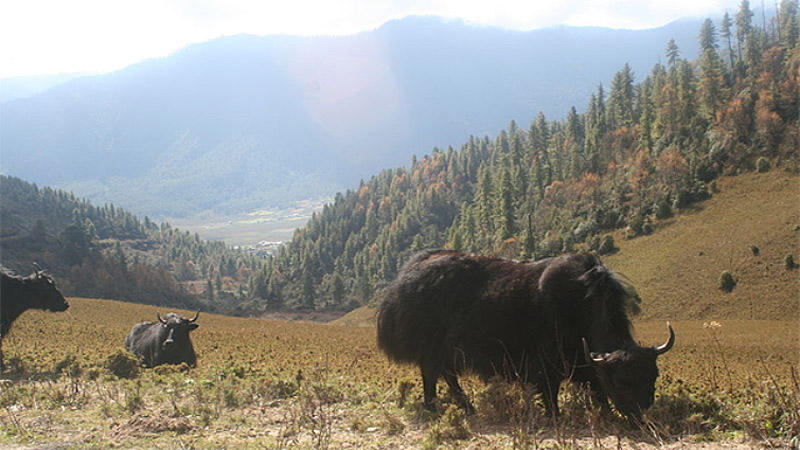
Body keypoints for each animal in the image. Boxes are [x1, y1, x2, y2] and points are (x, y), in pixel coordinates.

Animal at [376, 250, 676, 418]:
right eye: (622, 382)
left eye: (653, 376)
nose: (640, 417)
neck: (580, 303)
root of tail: (404, 279)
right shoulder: (547, 362)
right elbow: (551, 390)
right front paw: (554, 417)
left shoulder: (585, 362)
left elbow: (597, 388)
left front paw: (605, 413)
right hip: (431, 346)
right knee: (431, 374)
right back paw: (434, 407)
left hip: (446, 351)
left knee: (446, 375)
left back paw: (467, 407)